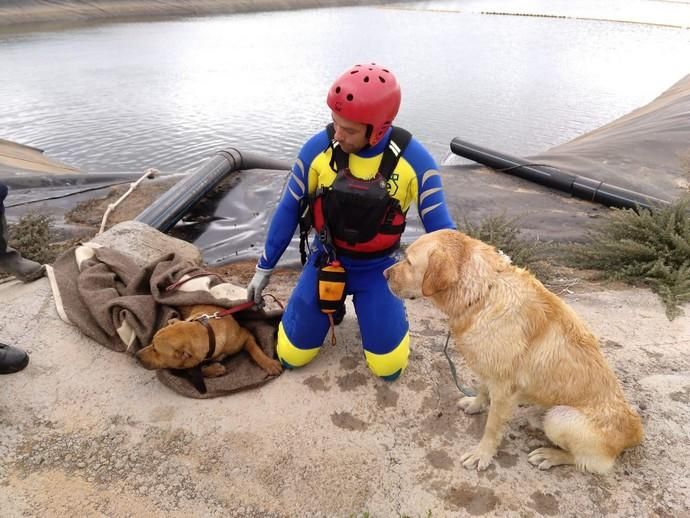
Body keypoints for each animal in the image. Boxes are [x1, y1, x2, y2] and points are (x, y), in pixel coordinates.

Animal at [136, 304, 280, 378]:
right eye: (152, 343)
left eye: (155, 349)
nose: (136, 355)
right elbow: (200, 369)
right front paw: (215, 370)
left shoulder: (245, 335)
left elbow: (255, 349)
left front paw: (269, 363)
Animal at [384, 232, 644, 476]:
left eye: (408, 261)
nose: (384, 273)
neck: (483, 294)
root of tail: (635, 432)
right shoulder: (489, 368)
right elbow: (482, 388)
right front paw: (476, 403)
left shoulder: (504, 387)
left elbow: (491, 426)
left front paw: (482, 454)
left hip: (560, 417)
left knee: (587, 462)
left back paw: (550, 455)